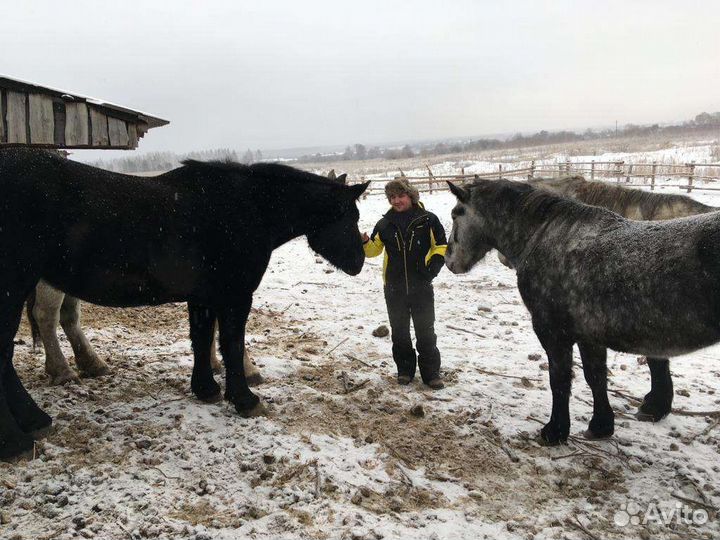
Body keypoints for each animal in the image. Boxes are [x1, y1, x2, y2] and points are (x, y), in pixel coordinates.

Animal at [0, 148, 368, 459]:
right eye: (350, 216)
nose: (359, 262)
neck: (247, 208)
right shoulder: (236, 296)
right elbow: (231, 343)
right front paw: (245, 400)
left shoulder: (203, 297)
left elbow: (202, 340)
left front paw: (206, 389)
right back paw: (18, 440)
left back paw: (36, 419)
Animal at [445, 179, 720, 445]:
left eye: (455, 214)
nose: (448, 261)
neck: (541, 235)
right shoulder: (589, 334)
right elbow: (595, 377)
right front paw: (600, 426)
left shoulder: (552, 333)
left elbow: (559, 379)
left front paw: (555, 431)